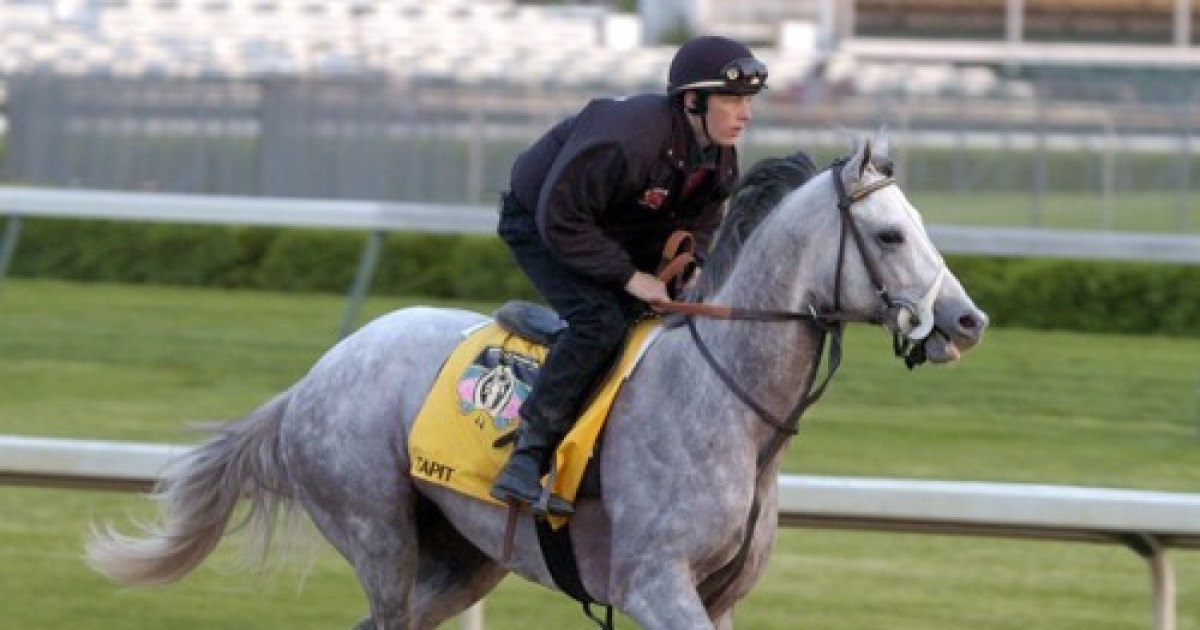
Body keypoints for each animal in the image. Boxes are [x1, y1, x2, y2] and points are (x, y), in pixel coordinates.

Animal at [82, 133, 984, 628]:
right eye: (890, 234)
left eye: (920, 224)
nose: (967, 321)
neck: (731, 408)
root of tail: (310, 381)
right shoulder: (654, 585)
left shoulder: (720, 597)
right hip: (375, 529)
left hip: (461, 557)